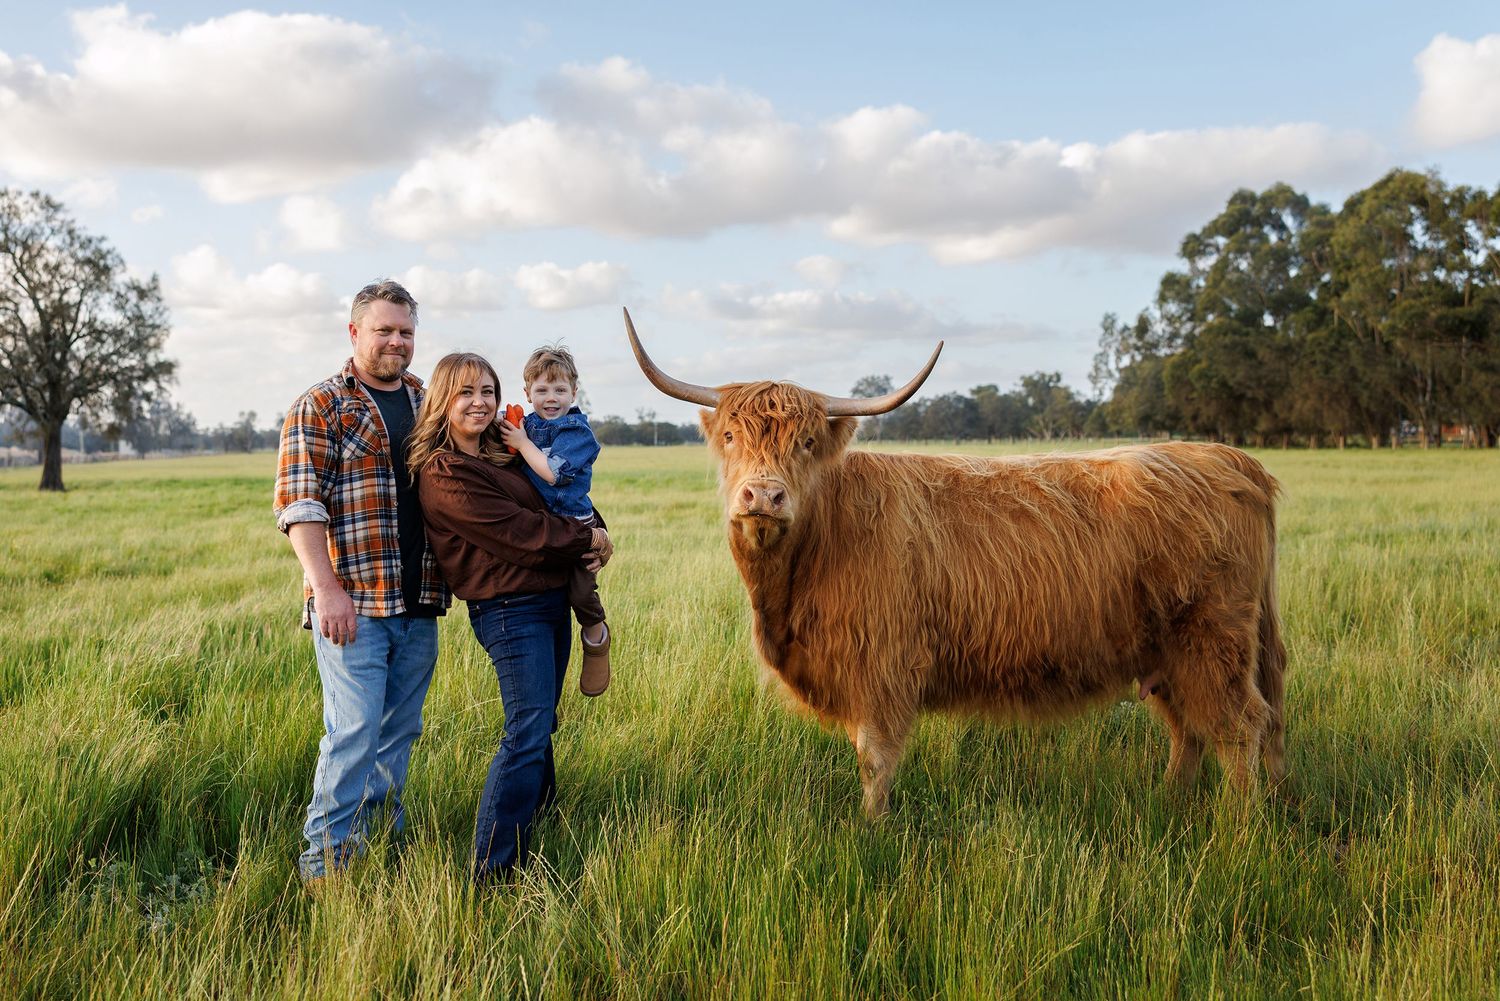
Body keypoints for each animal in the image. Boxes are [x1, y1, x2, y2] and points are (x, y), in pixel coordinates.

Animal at [624, 308, 1286, 818]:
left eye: (806, 442)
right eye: (731, 437)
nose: (763, 494)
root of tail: (1230, 458)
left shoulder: (884, 665)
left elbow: (875, 759)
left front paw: (871, 831)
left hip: (1211, 639)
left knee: (1240, 727)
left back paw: (1238, 830)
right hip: (1169, 649)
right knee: (1196, 727)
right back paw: (1177, 802)